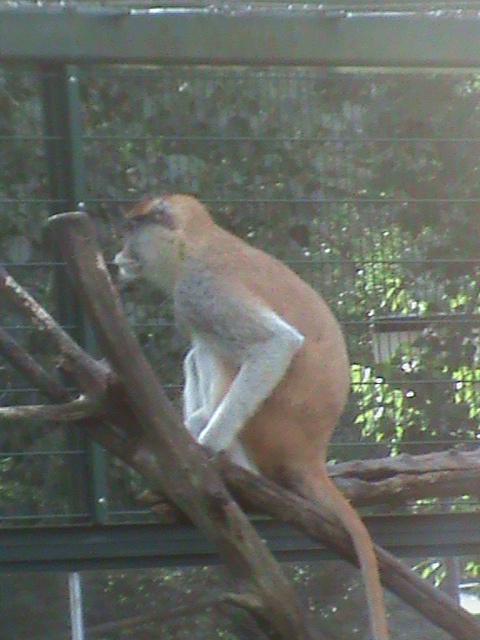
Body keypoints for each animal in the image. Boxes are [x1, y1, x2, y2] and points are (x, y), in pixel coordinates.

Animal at [114, 194, 389, 640]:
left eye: (131, 231)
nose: (120, 255)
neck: (197, 238)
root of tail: (312, 453)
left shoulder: (198, 288)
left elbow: (276, 344)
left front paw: (204, 447)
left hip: (272, 426)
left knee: (218, 351)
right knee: (200, 350)